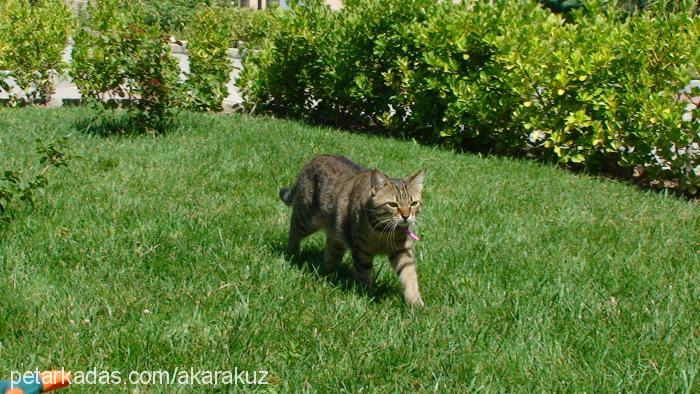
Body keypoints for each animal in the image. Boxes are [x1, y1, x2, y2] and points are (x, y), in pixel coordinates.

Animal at [280, 155, 426, 306]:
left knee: (331, 250)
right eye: (393, 204)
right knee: (293, 233)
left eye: (414, 203)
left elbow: (409, 276)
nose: (406, 216)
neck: (383, 231)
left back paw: (329, 272)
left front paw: (415, 302)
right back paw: (293, 255)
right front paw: (367, 295)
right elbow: (364, 274)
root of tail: (315, 158)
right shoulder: (361, 250)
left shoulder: (402, 251)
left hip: (337, 232)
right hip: (306, 218)